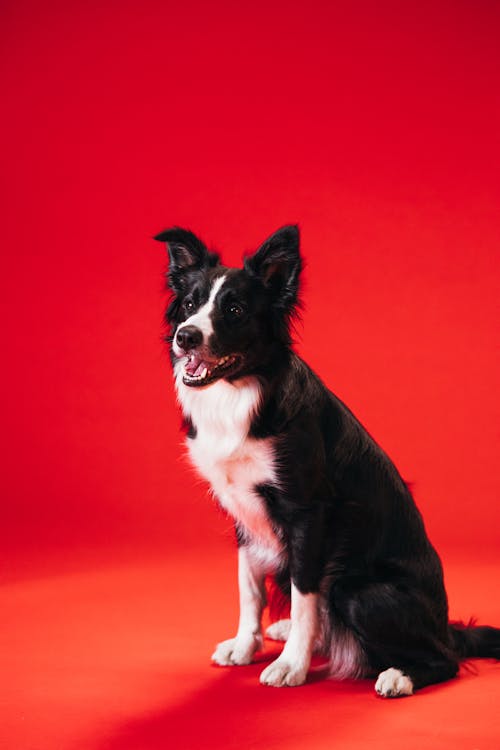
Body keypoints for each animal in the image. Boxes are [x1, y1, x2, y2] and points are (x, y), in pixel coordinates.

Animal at [154, 226, 498, 696]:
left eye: (235, 310)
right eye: (190, 305)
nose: (186, 336)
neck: (242, 393)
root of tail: (445, 627)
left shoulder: (307, 513)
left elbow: (304, 595)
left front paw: (291, 665)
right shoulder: (243, 511)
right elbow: (249, 589)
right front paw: (246, 646)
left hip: (359, 592)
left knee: (445, 659)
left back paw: (400, 675)